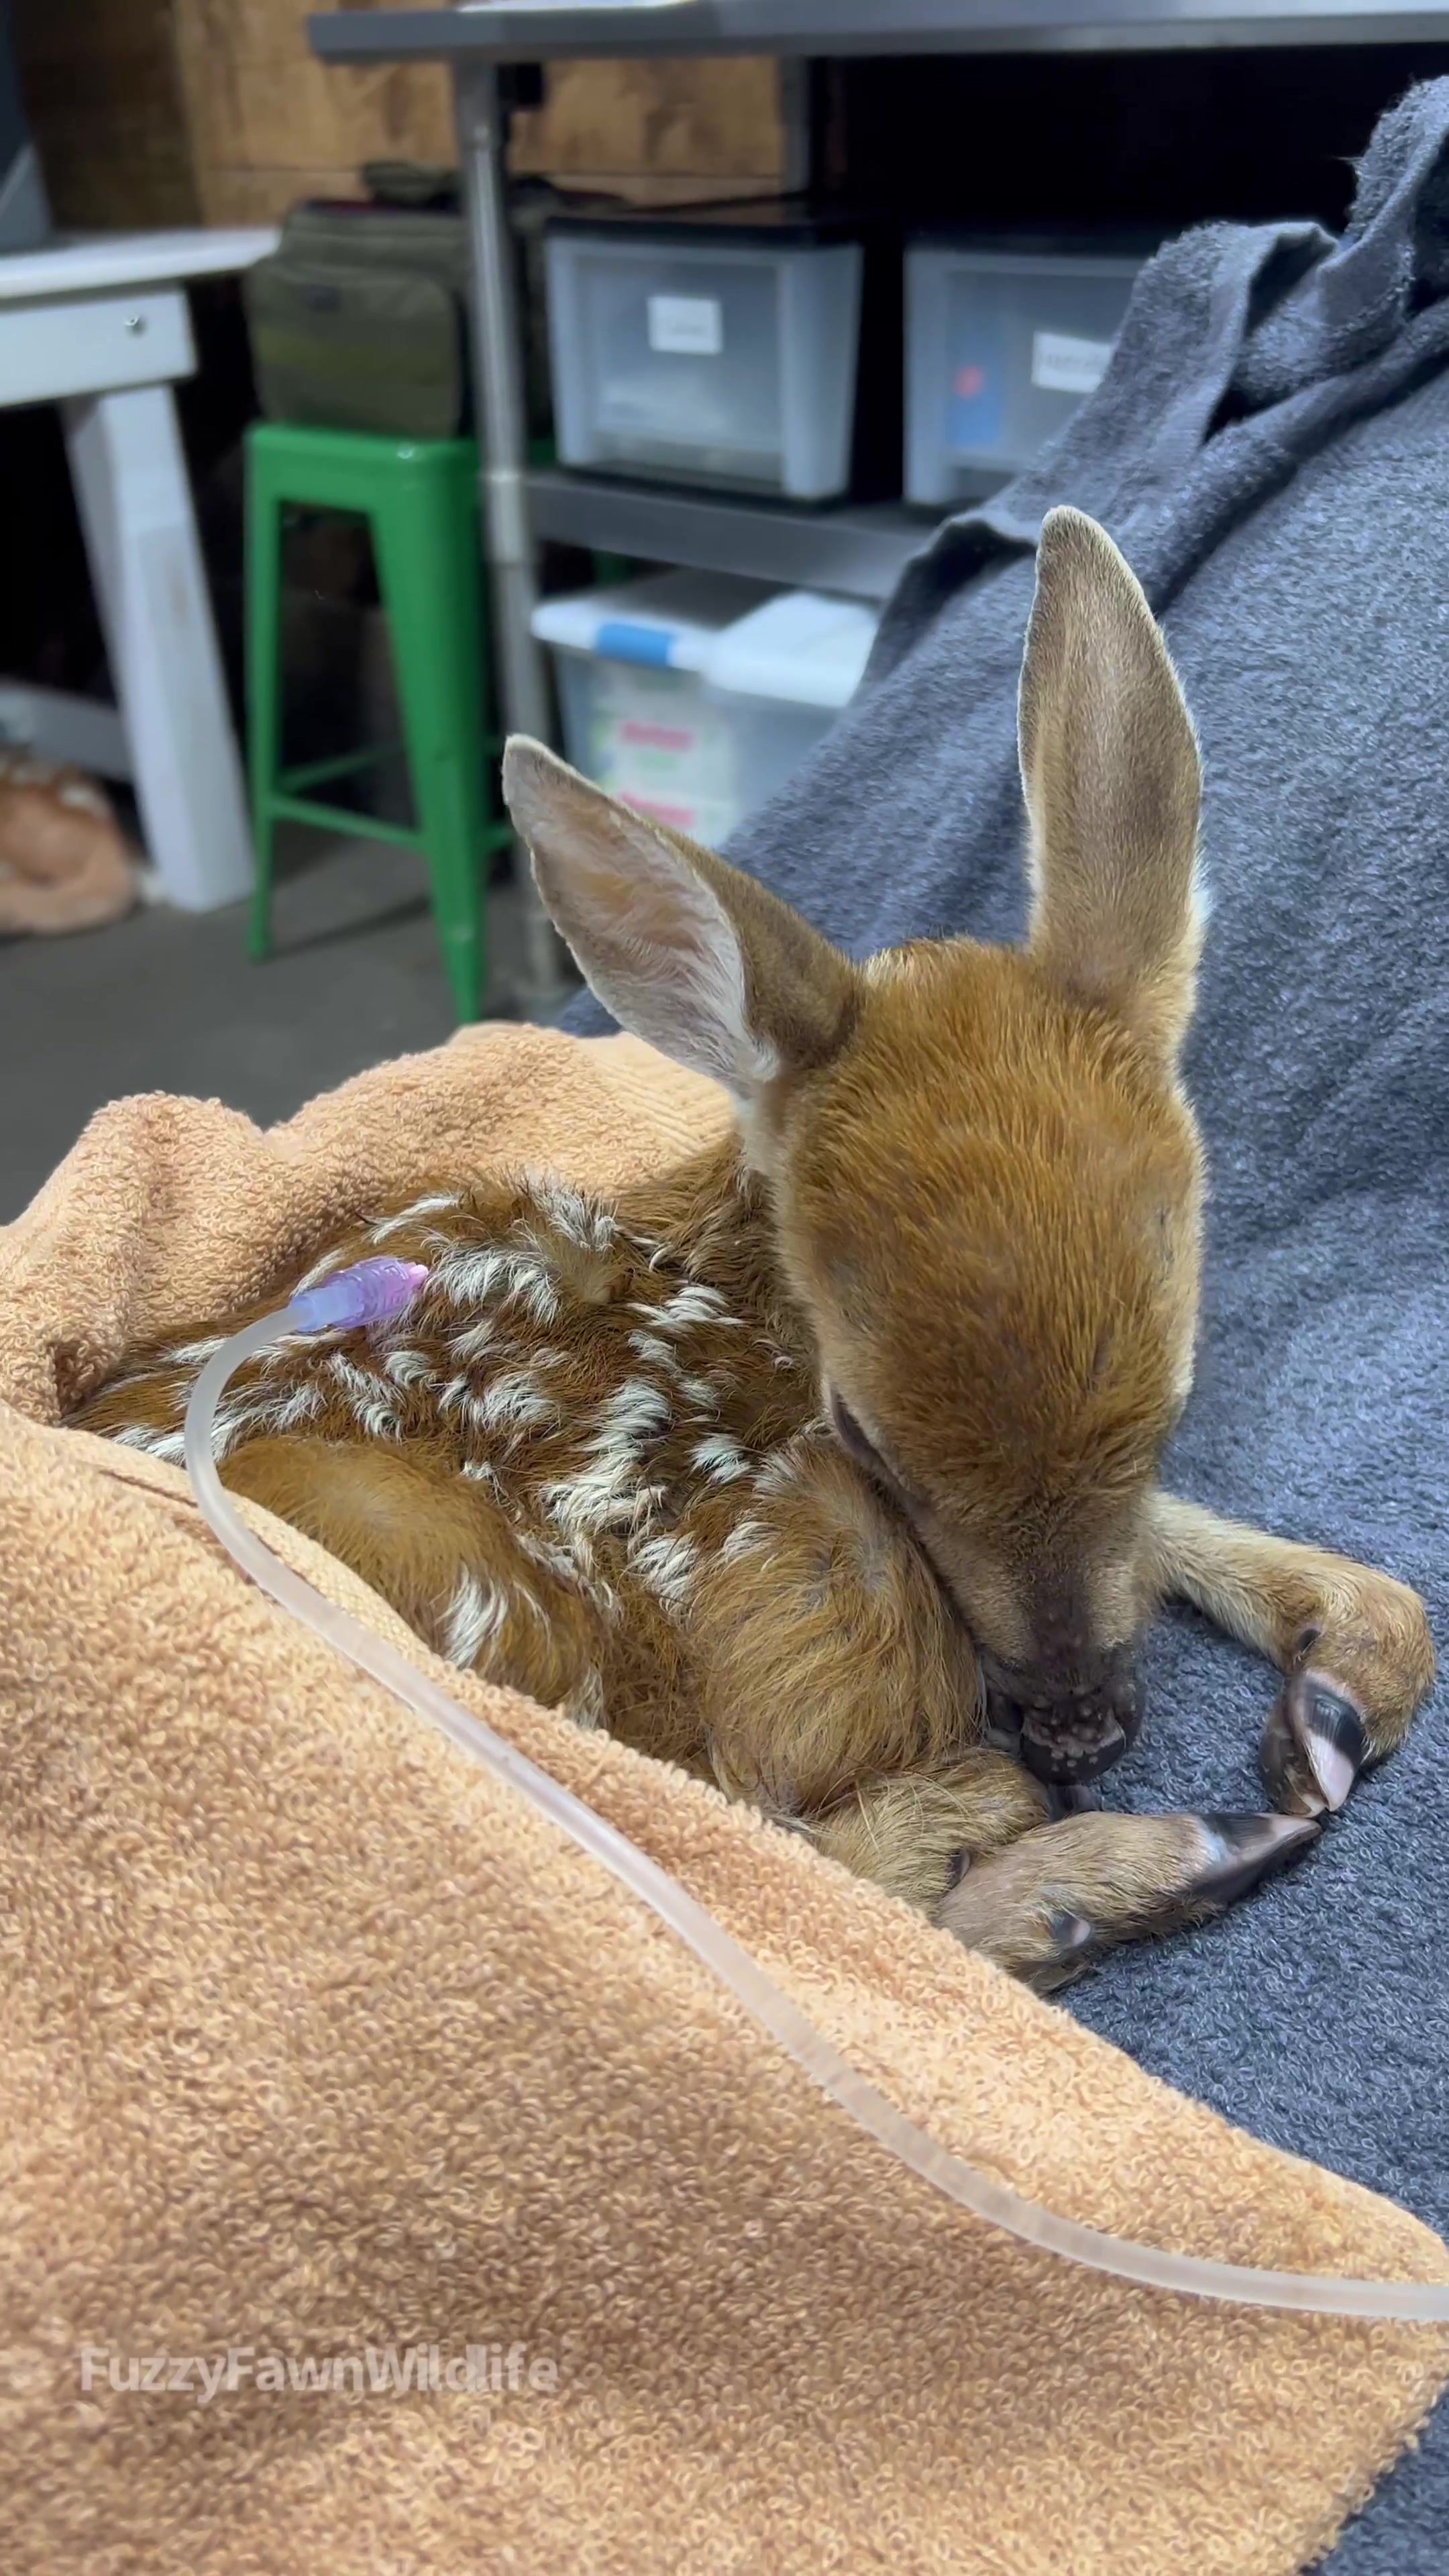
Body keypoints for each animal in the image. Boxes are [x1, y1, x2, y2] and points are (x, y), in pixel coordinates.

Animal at [72, 509, 1434, 1993]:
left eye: (1173, 1402)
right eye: (870, 1436)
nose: (1085, 1726)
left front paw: (1348, 1672)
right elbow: (777, 1870)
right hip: (473, 1583)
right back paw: (1135, 1864)